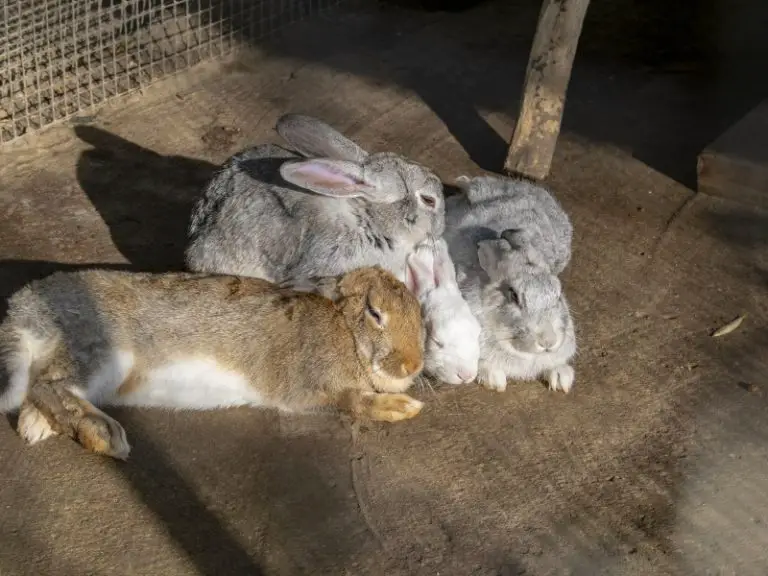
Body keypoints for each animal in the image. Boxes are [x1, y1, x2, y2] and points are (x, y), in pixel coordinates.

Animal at [0, 266, 426, 459]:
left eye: (420, 312)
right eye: (374, 313)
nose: (414, 364)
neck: (346, 331)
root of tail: (26, 308)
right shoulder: (311, 388)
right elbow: (353, 402)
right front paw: (403, 407)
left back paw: (34, 426)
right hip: (103, 352)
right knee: (49, 385)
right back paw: (104, 435)